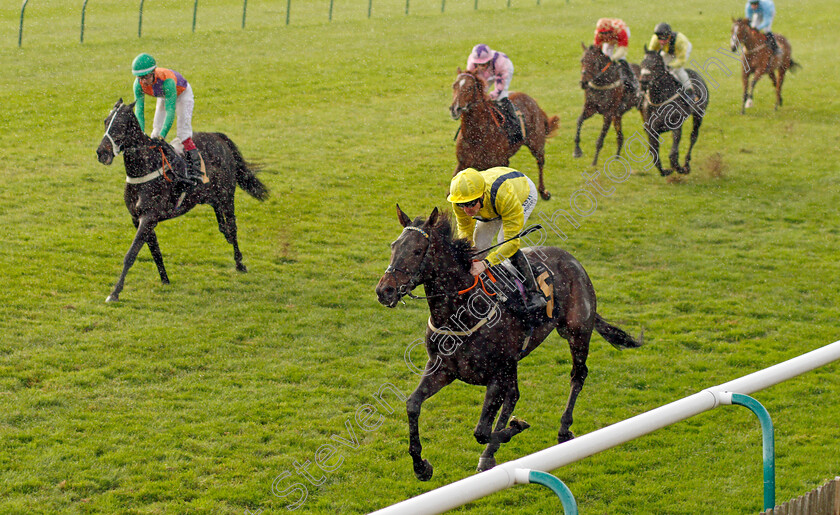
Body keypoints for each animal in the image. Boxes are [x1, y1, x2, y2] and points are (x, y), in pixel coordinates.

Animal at [98, 98, 270, 302]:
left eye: (120, 124)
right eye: (106, 122)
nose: (101, 152)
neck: (145, 168)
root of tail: (218, 137)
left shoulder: (149, 217)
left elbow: (131, 254)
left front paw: (114, 293)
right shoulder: (137, 218)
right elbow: (155, 251)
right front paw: (165, 280)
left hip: (227, 194)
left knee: (233, 226)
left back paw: (240, 263)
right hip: (208, 194)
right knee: (221, 220)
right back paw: (226, 236)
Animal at [376, 206, 644, 480]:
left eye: (418, 250)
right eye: (394, 246)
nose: (384, 291)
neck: (461, 314)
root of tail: (572, 261)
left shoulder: (497, 372)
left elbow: (482, 431)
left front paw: (516, 425)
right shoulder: (443, 369)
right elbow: (413, 405)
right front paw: (421, 466)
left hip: (576, 332)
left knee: (577, 375)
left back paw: (563, 429)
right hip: (514, 361)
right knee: (515, 394)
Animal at [450, 70, 560, 202]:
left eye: (470, 87)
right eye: (454, 85)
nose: (455, 109)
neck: (476, 136)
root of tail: (533, 102)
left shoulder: (499, 164)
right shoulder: (462, 164)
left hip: (536, 143)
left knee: (540, 162)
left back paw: (543, 191)